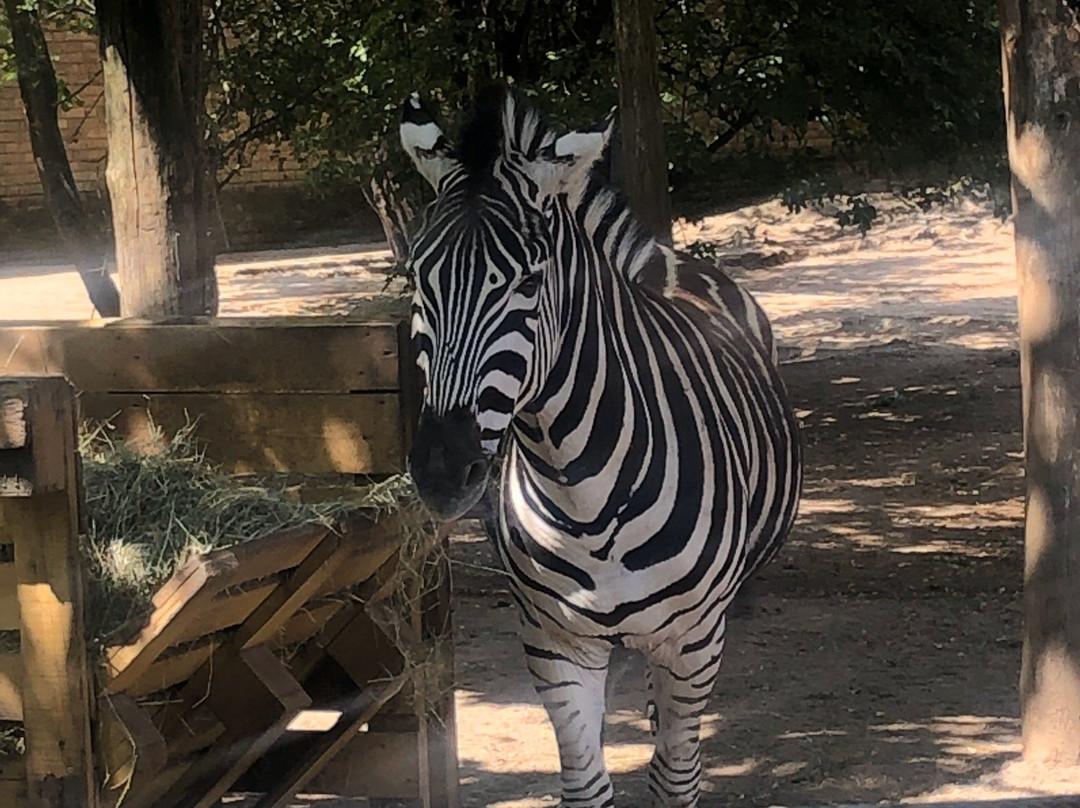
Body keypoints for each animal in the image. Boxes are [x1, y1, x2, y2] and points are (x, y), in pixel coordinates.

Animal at [399, 88, 803, 808]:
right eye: (417, 277)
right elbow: (586, 786)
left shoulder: (691, 642)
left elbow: (674, 780)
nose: (443, 471)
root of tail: (661, 260)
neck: (581, 493)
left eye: (528, 282)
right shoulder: (555, 644)